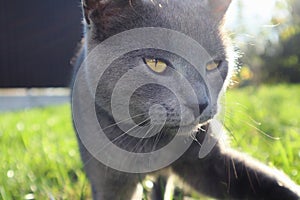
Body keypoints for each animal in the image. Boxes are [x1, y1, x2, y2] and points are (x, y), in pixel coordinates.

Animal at [72, 0, 300, 200]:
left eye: (213, 64)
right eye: (155, 63)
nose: (201, 103)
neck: (152, 143)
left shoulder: (211, 163)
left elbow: (272, 184)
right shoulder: (108, 181)